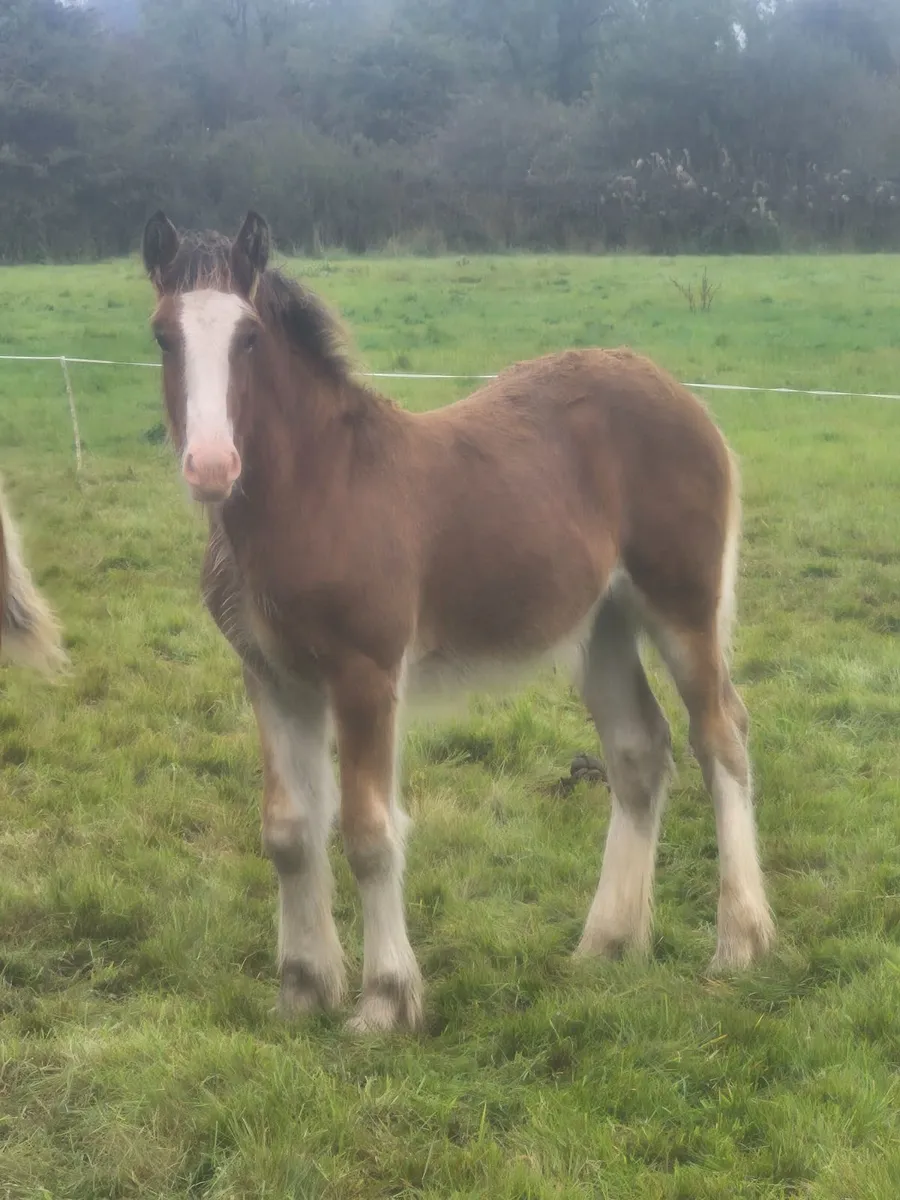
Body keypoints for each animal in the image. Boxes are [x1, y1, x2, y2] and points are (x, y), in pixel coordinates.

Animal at [142, 209, 774, 1033]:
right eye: (163, 336)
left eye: (248, 336)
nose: (212, 466)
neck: (317, 490)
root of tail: (681, 395)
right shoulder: (273, 676)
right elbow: (288, 831)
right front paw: (303, 990)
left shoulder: (366, 673)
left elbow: (369, 831)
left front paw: (385, 1002)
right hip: (599, 624)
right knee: (640, 750)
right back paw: (607, 943)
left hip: (683, 605)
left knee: (720, 737)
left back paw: (740, 942)